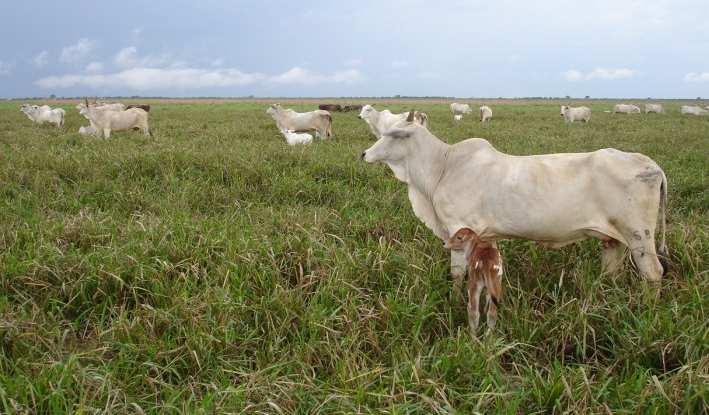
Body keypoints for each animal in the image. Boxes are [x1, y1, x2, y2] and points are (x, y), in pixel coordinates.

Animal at [362, 110, 668, 312]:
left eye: (394, 134)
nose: (364, 154)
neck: (443, 166)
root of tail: (650, 164)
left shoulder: (458, 229)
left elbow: (458, 274)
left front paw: (454, 302)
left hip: (639, 235)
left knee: (653, 273)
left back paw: (649, 310)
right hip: (612, 239)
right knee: (611, 272)